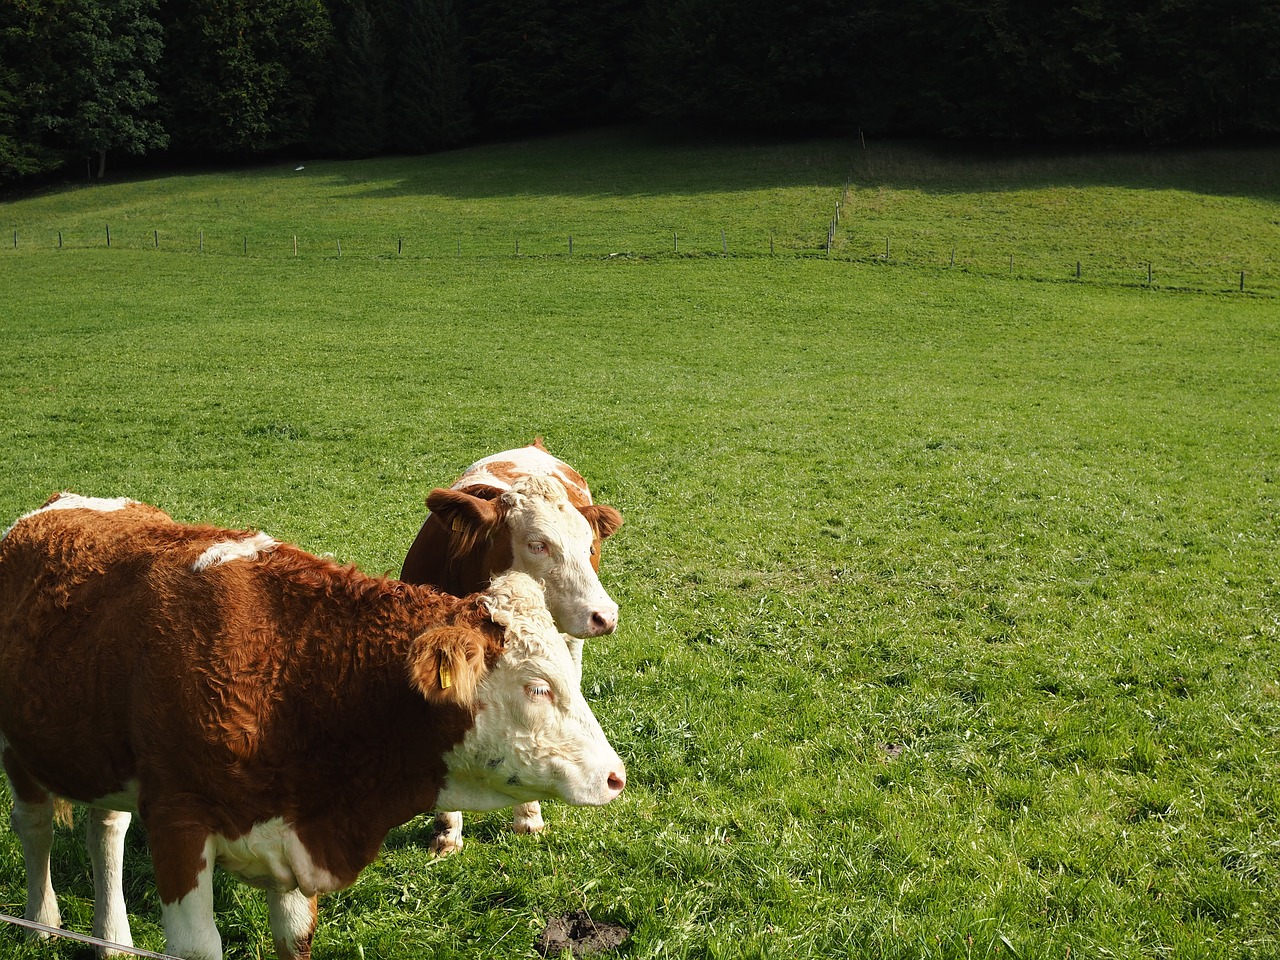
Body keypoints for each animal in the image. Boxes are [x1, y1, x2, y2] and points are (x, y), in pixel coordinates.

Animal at [0, 496, 622, 960]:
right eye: (537, 687)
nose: (616, 777)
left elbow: (294, 939)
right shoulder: (179, 820)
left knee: (105, 828)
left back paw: (112, 938)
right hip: (18, 746)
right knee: (35, 826)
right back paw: (41, 921)